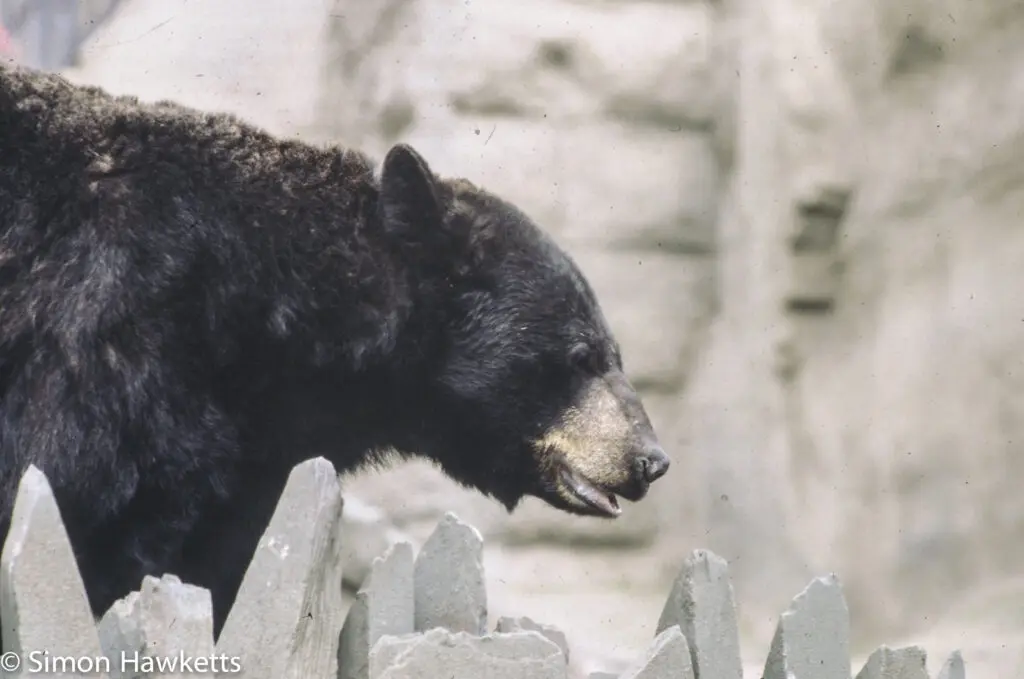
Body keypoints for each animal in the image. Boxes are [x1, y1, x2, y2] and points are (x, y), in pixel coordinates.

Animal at [0, 62, 671, 635]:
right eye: (584, 356)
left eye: (612, 353)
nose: (651, 459)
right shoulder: (112, 334)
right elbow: (79, 498)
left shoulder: (251, 460)